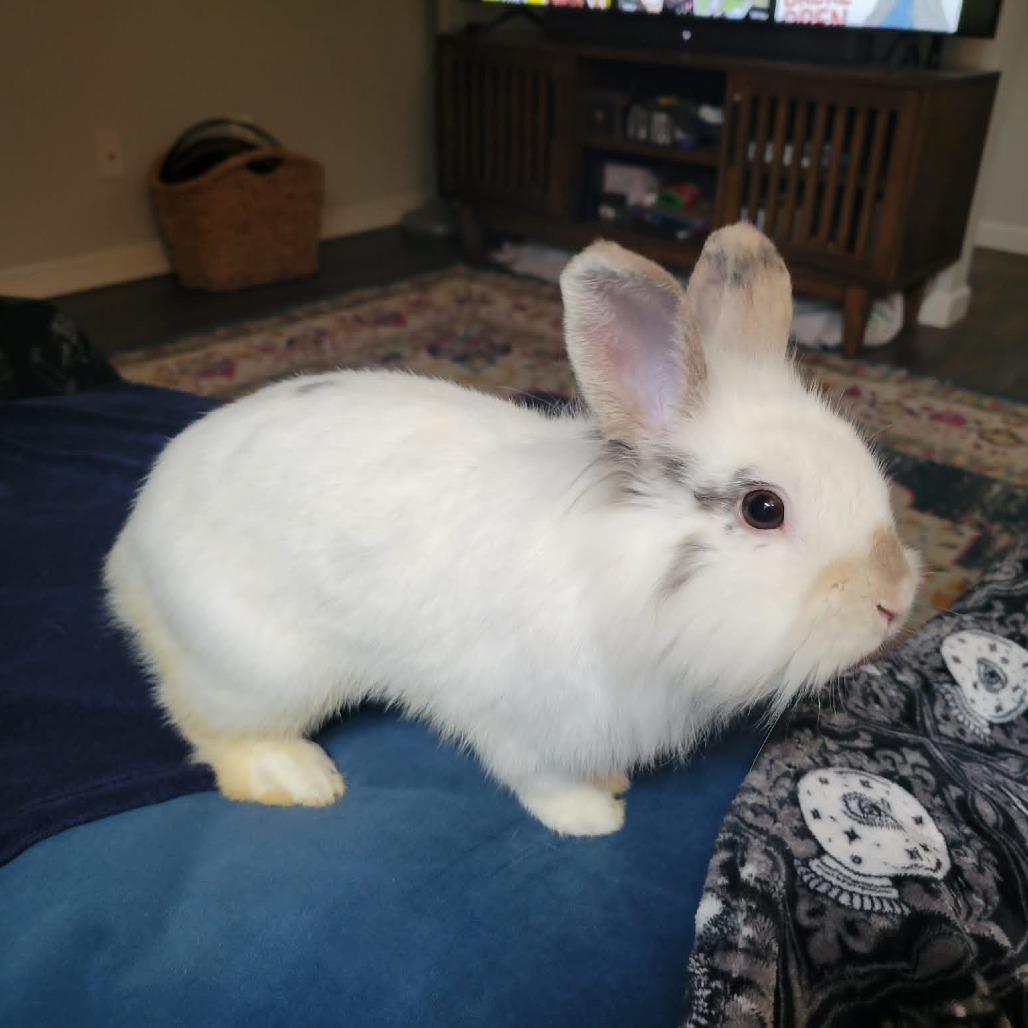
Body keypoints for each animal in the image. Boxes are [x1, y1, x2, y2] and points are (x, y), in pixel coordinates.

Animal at [103, 223, 919, 837]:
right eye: (762, 508)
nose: (894, 602)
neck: (620, 576)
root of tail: (129, 551)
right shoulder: (523, 722)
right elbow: (540, 781)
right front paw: (595, 816)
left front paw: (613, 782)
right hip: (261, 669)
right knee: (209, 727)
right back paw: (297, 778)